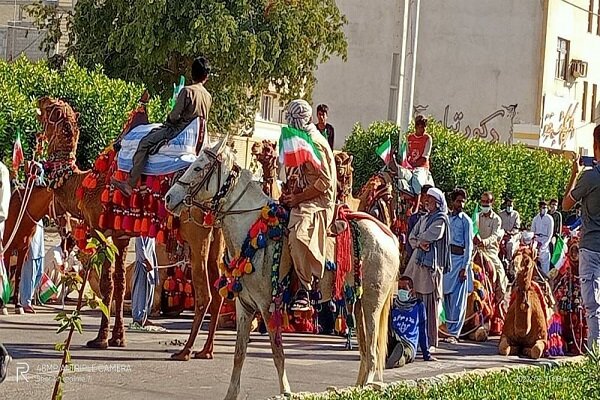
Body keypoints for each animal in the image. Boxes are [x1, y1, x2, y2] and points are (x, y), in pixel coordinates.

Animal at [37, 94, 225, 360]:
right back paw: (206, 351)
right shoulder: (121, 236)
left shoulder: (100, 231)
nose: (42, 99)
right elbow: (120, 284)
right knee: (218, 291)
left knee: (204, 294)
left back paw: (185, 351)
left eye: (51, 108)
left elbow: (106, 284)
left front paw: (100, 340)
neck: (81, 183)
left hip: (196, 236)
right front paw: (118, 338)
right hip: (216, 237)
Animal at [164, 140, 400, 400]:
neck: (253, 232)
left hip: (372, 303)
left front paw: (286, 391)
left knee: (372, 352)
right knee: (366, 353)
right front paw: (231, 394)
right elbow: (239, 354)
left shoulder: (268, 306)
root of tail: (388, 235)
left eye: (198, 167)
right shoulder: (245, 307)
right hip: (356, 302)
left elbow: (278, 353)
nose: (168, 198)